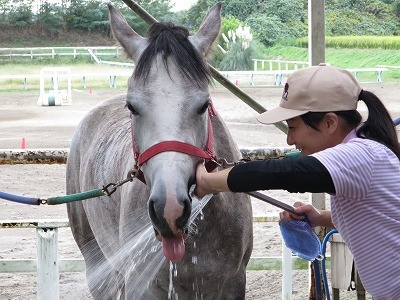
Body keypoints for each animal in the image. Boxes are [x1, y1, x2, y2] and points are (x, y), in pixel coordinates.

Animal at [66, 3, 253, 298]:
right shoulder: (142, 285)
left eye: (204, 105)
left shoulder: (233, 283)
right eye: (132, 107)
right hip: (96, 264)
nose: (170, 209)